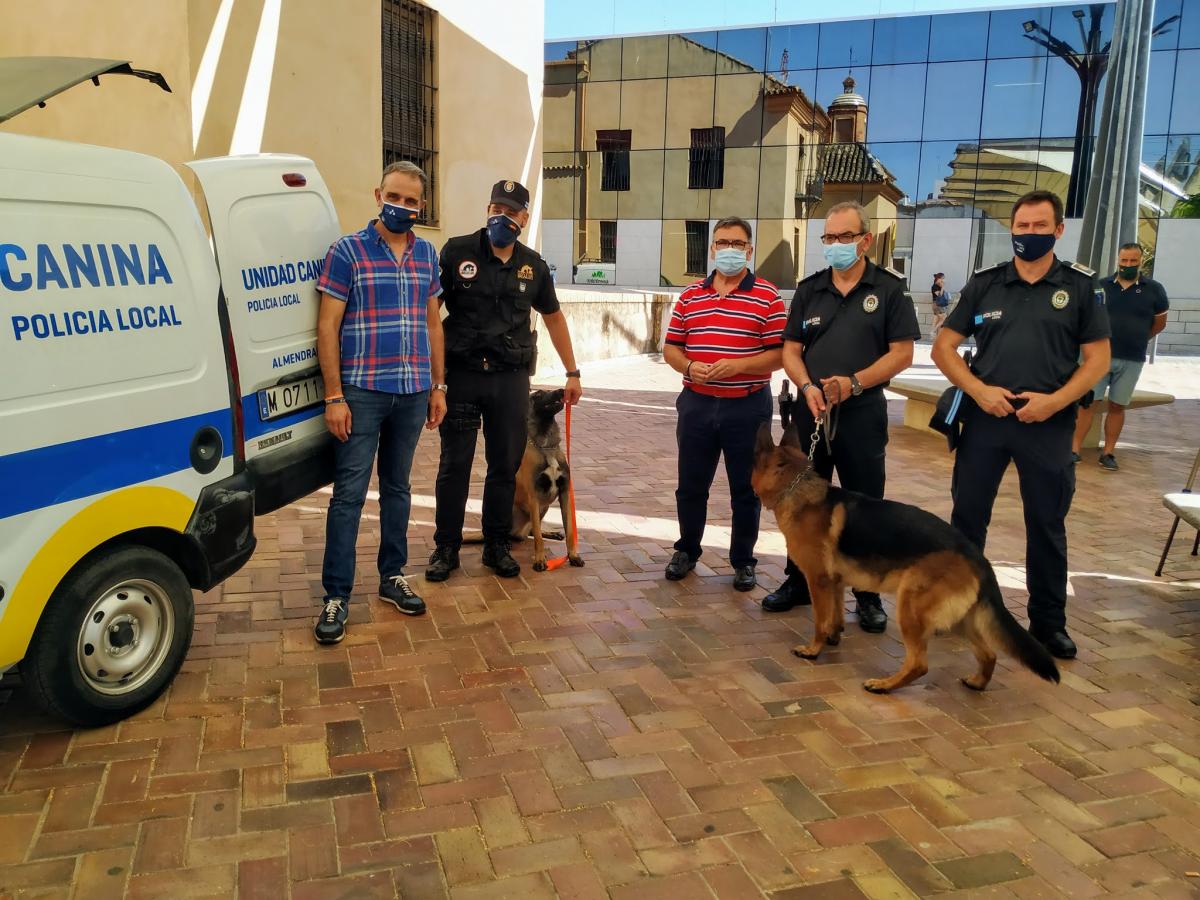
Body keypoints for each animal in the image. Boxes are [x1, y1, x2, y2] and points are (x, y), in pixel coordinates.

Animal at [753, 424, 1056, 696]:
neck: (797, 489)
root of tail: (978, 558)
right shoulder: (836, 583)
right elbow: (835, 616)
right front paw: (833, 638)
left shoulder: (819, 581)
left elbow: (820, 620)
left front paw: (813, 650)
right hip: (960, 620)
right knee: (989, 653)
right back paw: (977, 683)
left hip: (910, 608)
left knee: (919, 664)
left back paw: (884, 685)